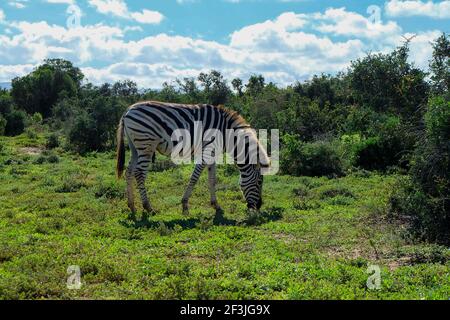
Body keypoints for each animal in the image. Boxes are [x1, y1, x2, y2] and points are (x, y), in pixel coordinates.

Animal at [117, 100, 270, 215]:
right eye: (259, 182)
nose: (259, 206)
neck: (226, 134)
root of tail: (128, 110)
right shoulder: (206, 151)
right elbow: (194, 178)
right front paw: (185, 205)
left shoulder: (212, 153)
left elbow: (212, 180)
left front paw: (216, 205)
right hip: (146, 143)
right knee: (139, 173)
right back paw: (148, 207)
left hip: (135, 147)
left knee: (129, 172)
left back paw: (131, 205)